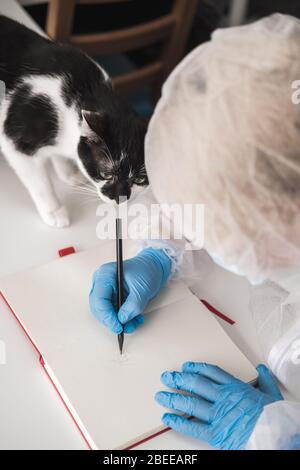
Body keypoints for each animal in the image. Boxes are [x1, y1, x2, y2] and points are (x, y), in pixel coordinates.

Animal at [0, 14, 148, 228]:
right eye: (106, 174)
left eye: (140, 179)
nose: (120, 198)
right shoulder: (15, 133)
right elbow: (38, 180)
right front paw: (54, 211)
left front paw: (68, 172)